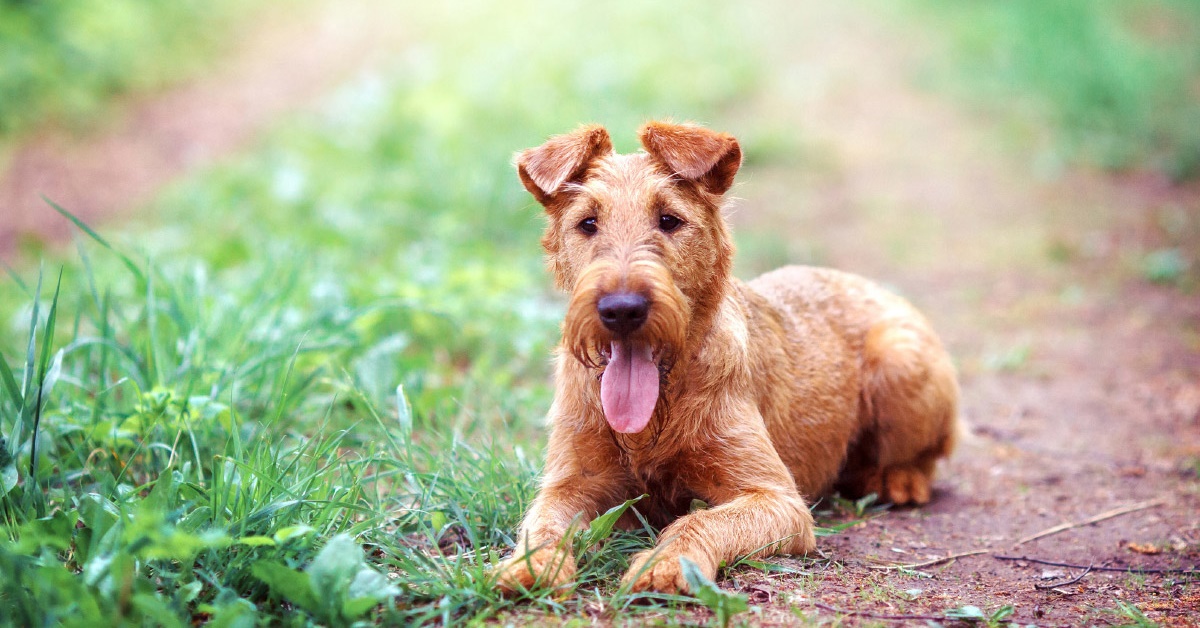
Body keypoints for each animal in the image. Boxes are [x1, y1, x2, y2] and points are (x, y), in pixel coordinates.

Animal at [492, 121, 960, 595]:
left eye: (669, 220)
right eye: (587, 223)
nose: (621, 309)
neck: (659, 409)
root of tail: (869, 284)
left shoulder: (776, 498)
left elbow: (699, 520)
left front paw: (667, 562)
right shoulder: (570, 481)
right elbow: (542, 523)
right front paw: (528, 565)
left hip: (900, 359)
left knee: (927, 455)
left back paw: (896, 480)